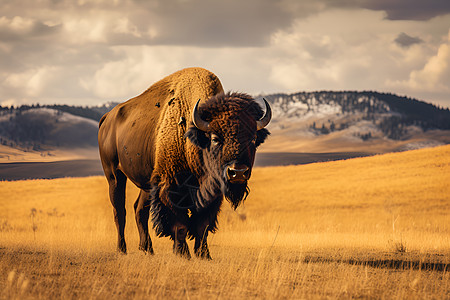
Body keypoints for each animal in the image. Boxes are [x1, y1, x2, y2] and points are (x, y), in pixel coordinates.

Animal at [98, 67, 270, 258]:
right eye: (215, 138)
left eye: (253, 139)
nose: (237, 172)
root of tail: (107, 118)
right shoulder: (170, 186)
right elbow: (180, 224)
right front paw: (182, 253)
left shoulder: (211, 192)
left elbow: (202, 225)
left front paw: (204, 255)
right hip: (114, 175)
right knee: (119, 211)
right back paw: (122, 249)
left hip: (147, 183)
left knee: (139, 209)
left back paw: (147, 249)